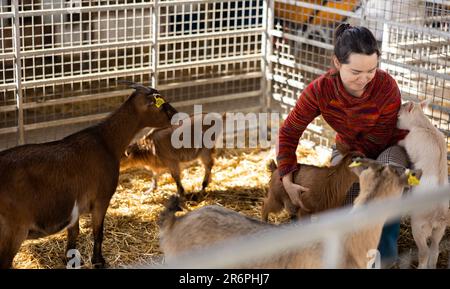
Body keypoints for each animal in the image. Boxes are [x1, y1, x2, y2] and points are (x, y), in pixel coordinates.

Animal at [0, 82, 178, 268]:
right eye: (163, 104)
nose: (177, 115)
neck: (107, 141)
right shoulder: (101, 199)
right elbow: (98, 232)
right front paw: (98, 261)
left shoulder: (75, 206)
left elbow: (74, 232)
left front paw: (71, 259)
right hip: (13, 230)